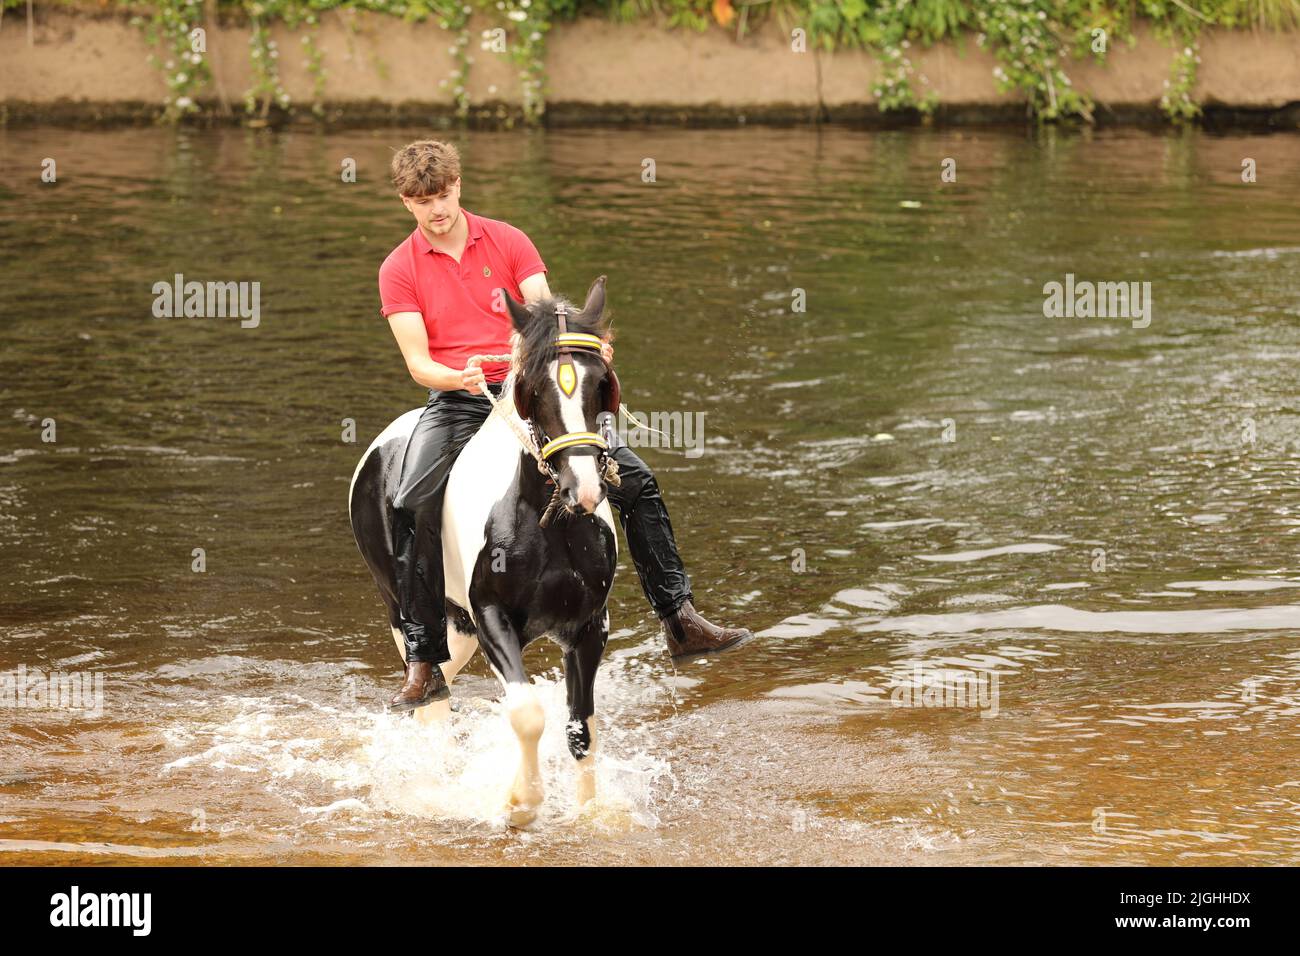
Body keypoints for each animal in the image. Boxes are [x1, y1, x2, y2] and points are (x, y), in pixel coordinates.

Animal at [348, 277, 621, 832]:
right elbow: (528, 714)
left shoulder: (589, 626)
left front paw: (589, 815)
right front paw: (519, 805)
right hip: (411, 614)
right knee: (427, 691)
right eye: (534, 388)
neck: (548, 522)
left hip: (458, 628)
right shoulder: (494, 616)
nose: (583, 488)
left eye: (600, 381)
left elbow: (581, 728)